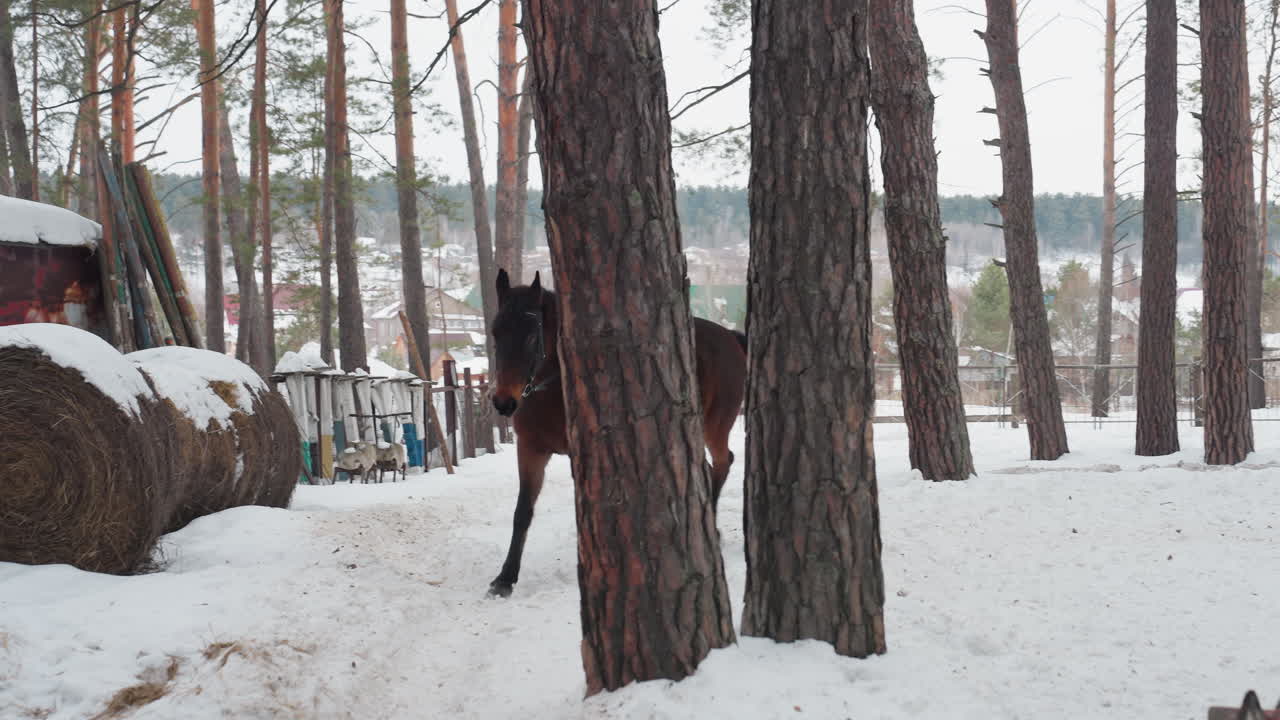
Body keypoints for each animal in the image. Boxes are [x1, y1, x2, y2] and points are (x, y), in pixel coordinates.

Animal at [486, 268, 747, 598]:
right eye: (496, 332)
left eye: (532, 335)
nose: (504, 402)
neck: (552, 387)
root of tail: (731, 337)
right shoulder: (531, 449)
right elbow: (522, 512)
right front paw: (505, 577)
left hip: (715, 425)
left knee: (724, 461)